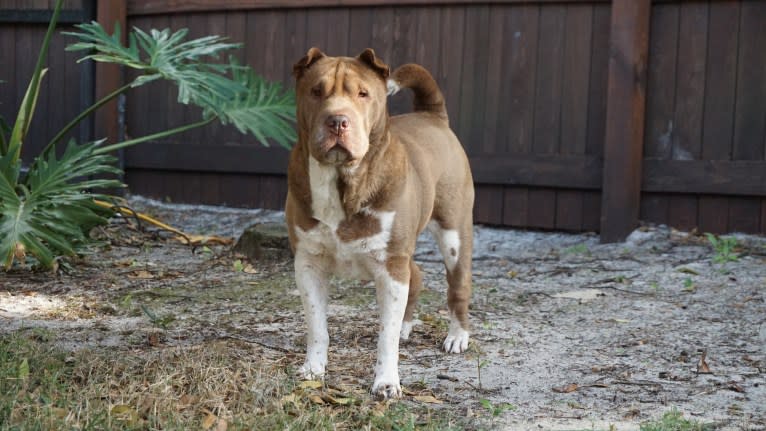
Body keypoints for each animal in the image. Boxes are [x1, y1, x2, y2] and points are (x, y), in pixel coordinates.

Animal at [284, 46, 474, 398]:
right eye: (316, 91)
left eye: (363, 93)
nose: (337, 120)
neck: (342, 184)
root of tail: (432, 116)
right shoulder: (308, 263)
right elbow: (317, 326)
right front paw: (313, 369)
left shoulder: (391, 266)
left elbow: (385, 336)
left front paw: (386, 382)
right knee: (417, 274)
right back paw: (407, 326)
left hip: (454, 231)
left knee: (458, 283)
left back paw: (457, 336)